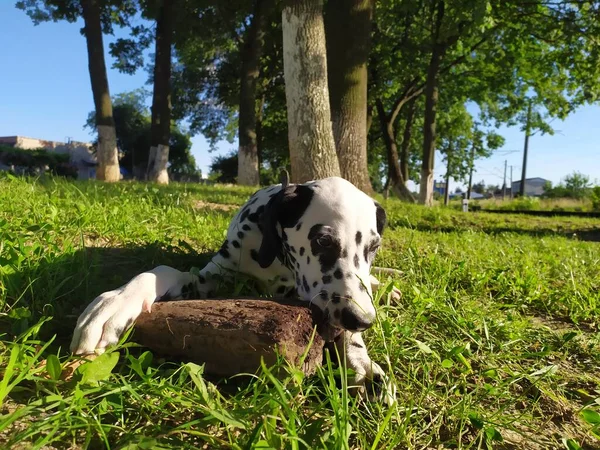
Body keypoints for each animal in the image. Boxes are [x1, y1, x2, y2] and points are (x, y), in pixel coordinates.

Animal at [70, 176, 396, 404]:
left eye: (374, 247)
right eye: (323, 241)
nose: (363, 320)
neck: (276, 263)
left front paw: (364, 366)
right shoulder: (209, 277)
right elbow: (162, 270)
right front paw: (114, 303)